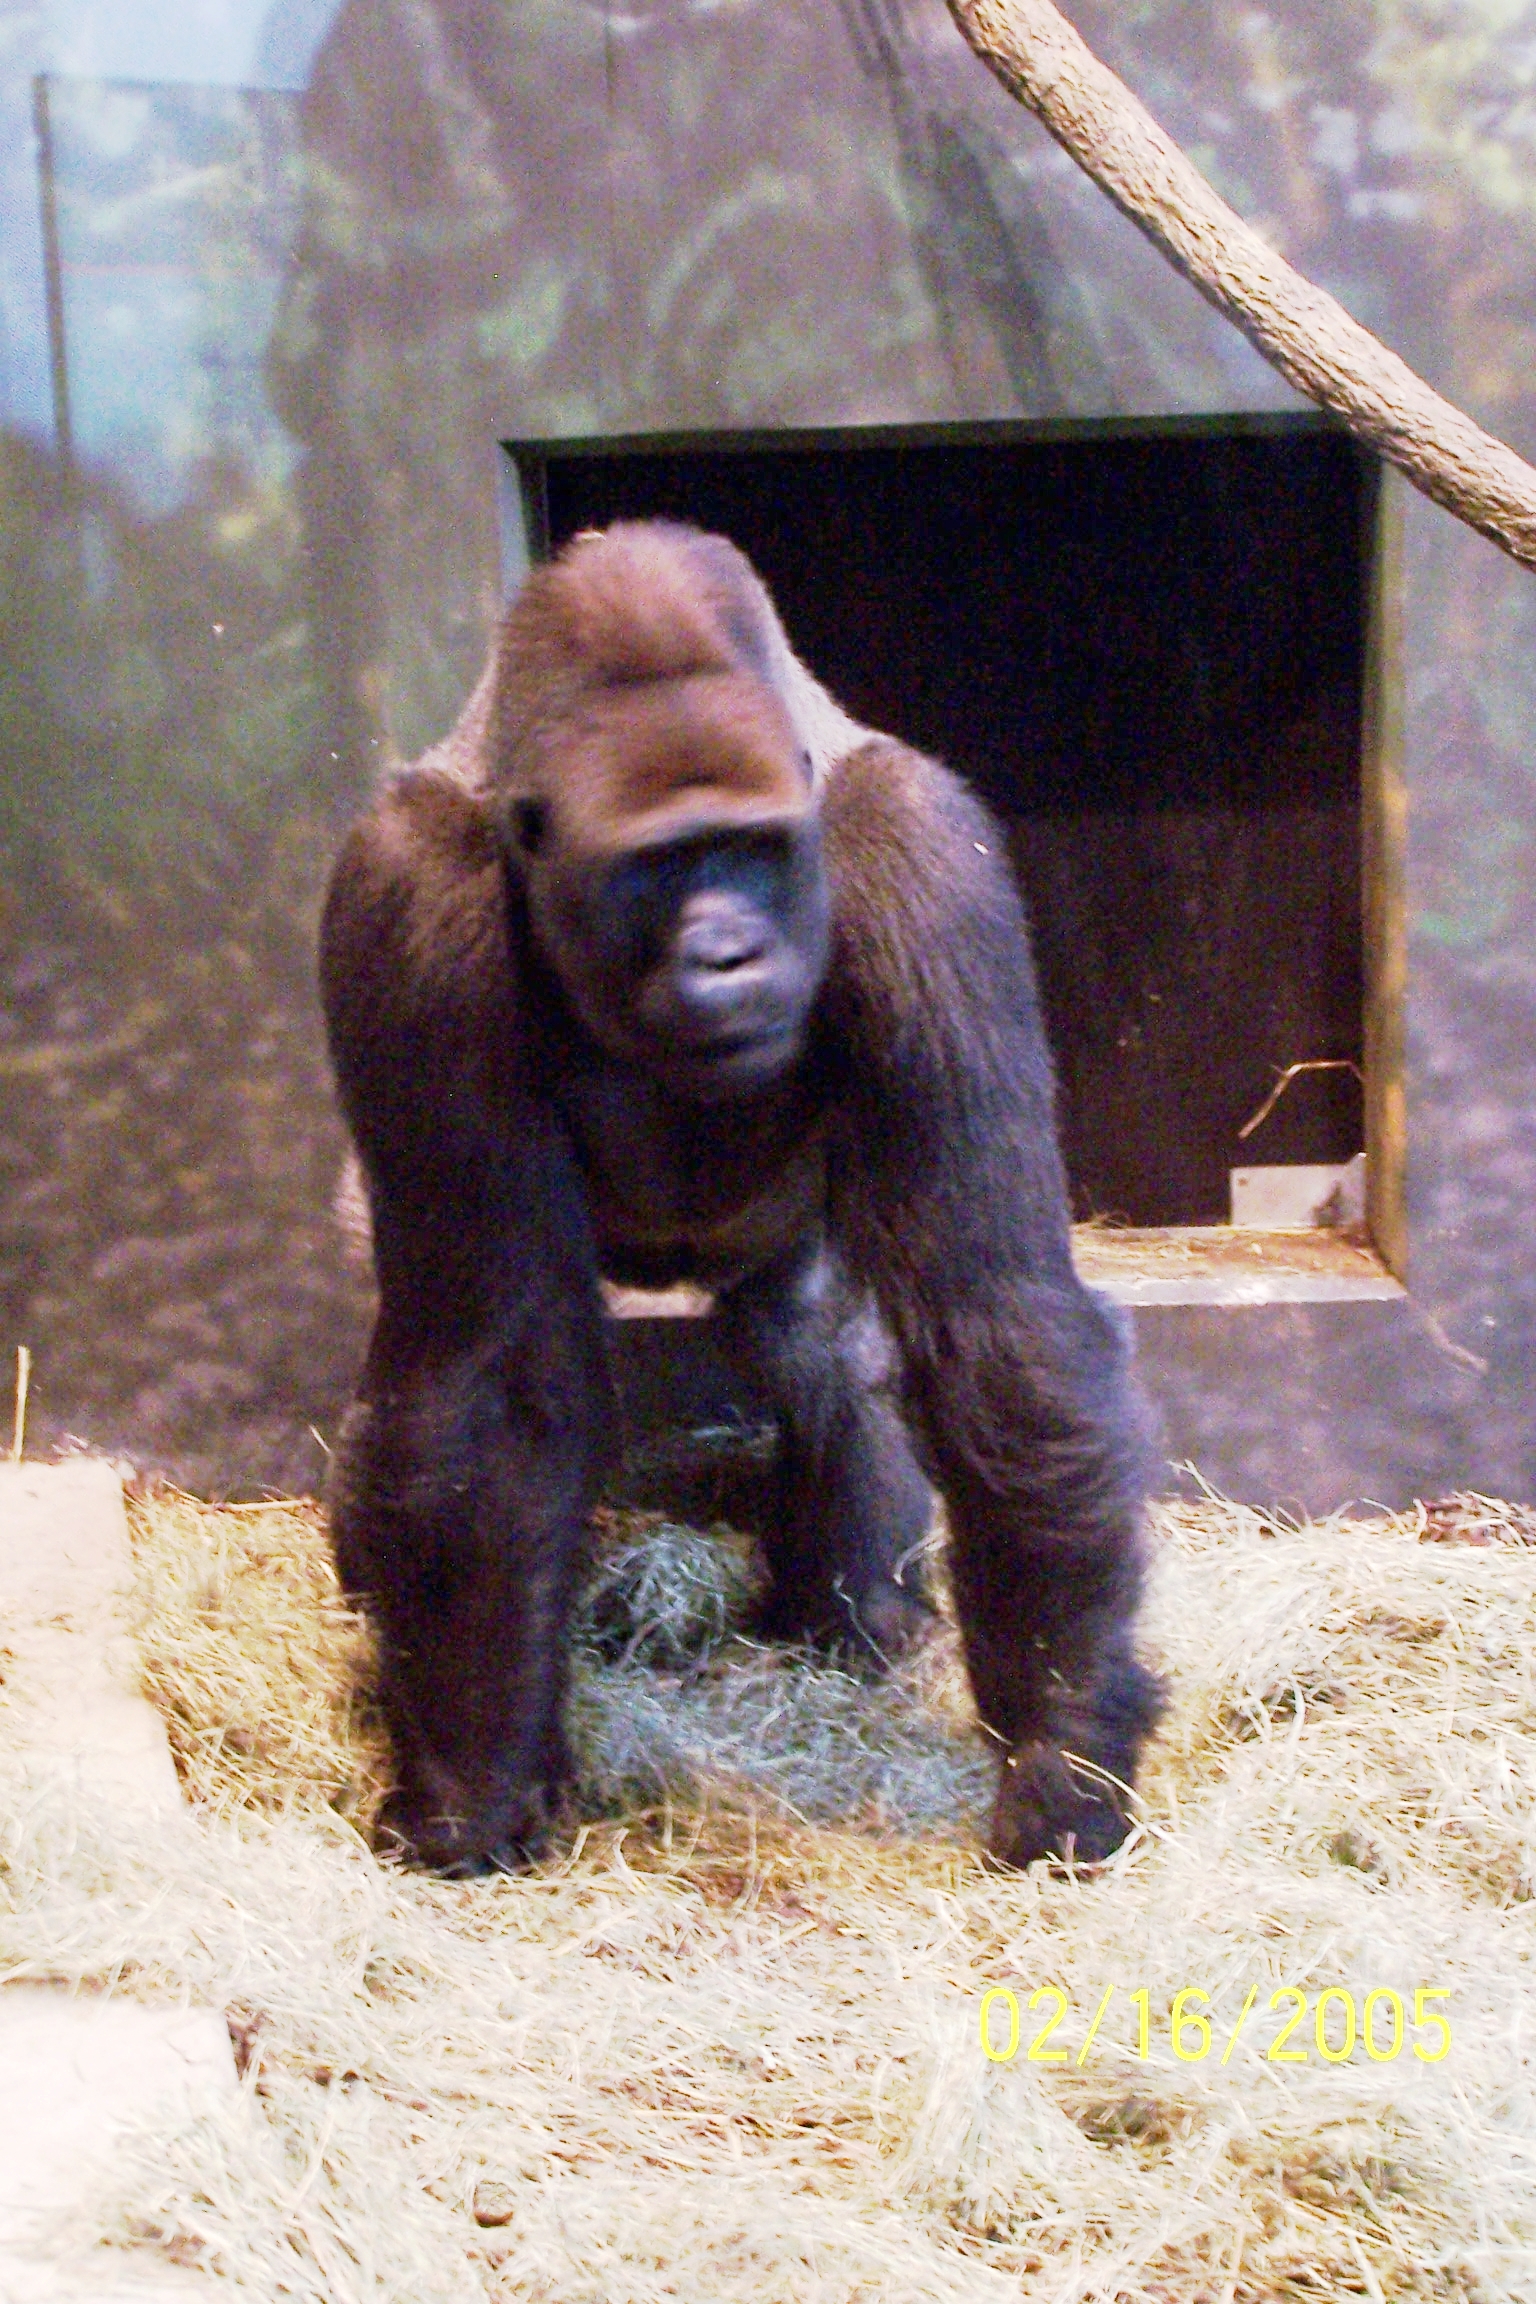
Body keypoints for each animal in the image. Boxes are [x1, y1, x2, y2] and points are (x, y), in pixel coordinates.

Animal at [324, 518, 1165, 1870]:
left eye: (755, 851)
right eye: (659, 869)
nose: (727, 955)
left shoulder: (922, 862)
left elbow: (997, 1319)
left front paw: (1064, 1751)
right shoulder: (408, 896)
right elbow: (492, 1379)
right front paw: (470, 1782)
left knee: (815, 1343)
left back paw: (853, 1611)